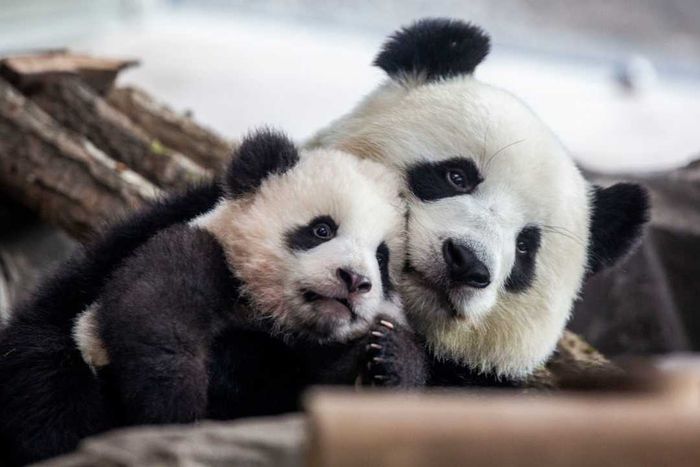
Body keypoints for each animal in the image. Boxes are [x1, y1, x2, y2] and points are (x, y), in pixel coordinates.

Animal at [0, 130, 422, 466]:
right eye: (322, 229)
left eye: (382, 258)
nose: (354, 280)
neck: (271, 318)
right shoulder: (200, 251)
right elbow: (154, 309)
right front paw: (175, 408)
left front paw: (387, 358)